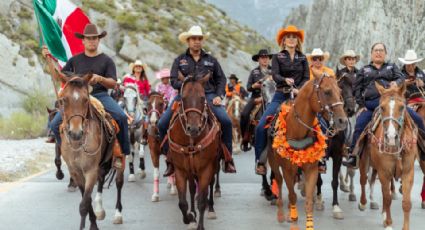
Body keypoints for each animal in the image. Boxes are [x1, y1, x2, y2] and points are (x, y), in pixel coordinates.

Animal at [58, 74, 124, 230]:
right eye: (64, 100)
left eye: (85, 100)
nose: (76, 133)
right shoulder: (76, 172)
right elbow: (86, 201)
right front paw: (93, 221)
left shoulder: (90, 170)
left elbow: (84, 204)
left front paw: (91, 226)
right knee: (101, 180)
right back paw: (100, 210)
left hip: (120, 159)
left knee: (118, 183)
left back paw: (118, 214)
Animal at [167, 73, 222, 230]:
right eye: (183, 98)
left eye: (203, 98)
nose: (193, 128)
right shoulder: (180, 170)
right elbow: (182, 203)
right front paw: (190, 218)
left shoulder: (206, 169)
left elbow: (202, 200)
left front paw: (200, 225)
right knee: (192, 189)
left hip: (214, 165)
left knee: (211, 184)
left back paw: (211, 209)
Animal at [268, 70, 348, 230]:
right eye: (327, 91)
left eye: (340, 91)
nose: (343, 121)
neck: (297, 129)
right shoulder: (287, 169)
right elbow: (292, 196)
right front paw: (293, 219)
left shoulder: (313, 168)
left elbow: (310, 200)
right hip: (274, 162)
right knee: (279, 181)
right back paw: (281, 213)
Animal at [314, 68, 356, 219]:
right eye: (341, 86)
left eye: (354, 87)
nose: (350, 110)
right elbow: (318, 180)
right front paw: (319, 201)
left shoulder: (338, 154)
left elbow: (335, 181)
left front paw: (336, 207)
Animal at [358, 82, 418, 230]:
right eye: (382, 107)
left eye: (402, 107)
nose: (391, 136)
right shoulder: (384, 171)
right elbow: (387, 198)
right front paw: (389, 223)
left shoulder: (408, 171)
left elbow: (406, 202)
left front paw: (403, 226)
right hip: (364, 161)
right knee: (363, 180)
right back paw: (363, 203)